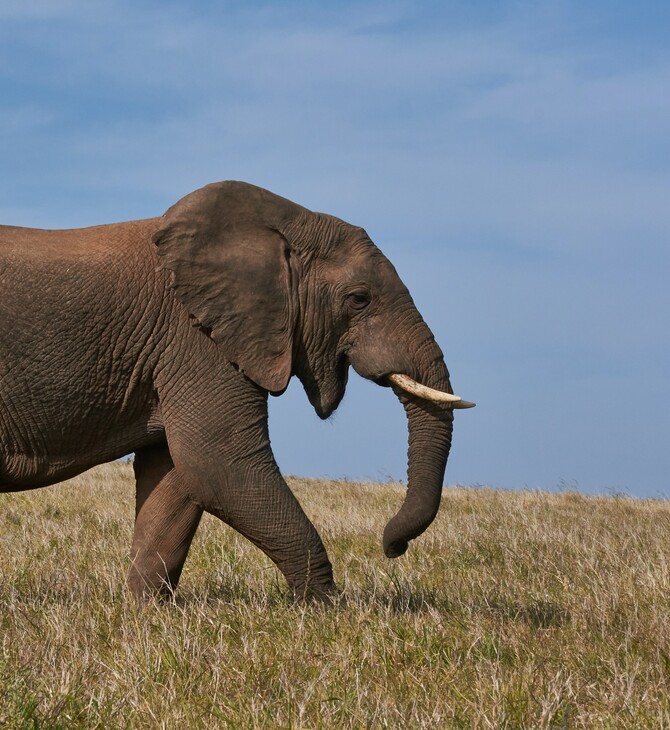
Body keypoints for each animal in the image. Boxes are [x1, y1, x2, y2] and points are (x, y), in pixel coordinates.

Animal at [0, 179, 476, 600]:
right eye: (359, 299)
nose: (393, 547)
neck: (284, 223)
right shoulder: (196, 339)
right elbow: (219, 465)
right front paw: (326, 609)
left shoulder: (176, 348)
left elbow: (177, 476)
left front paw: (144, 614)